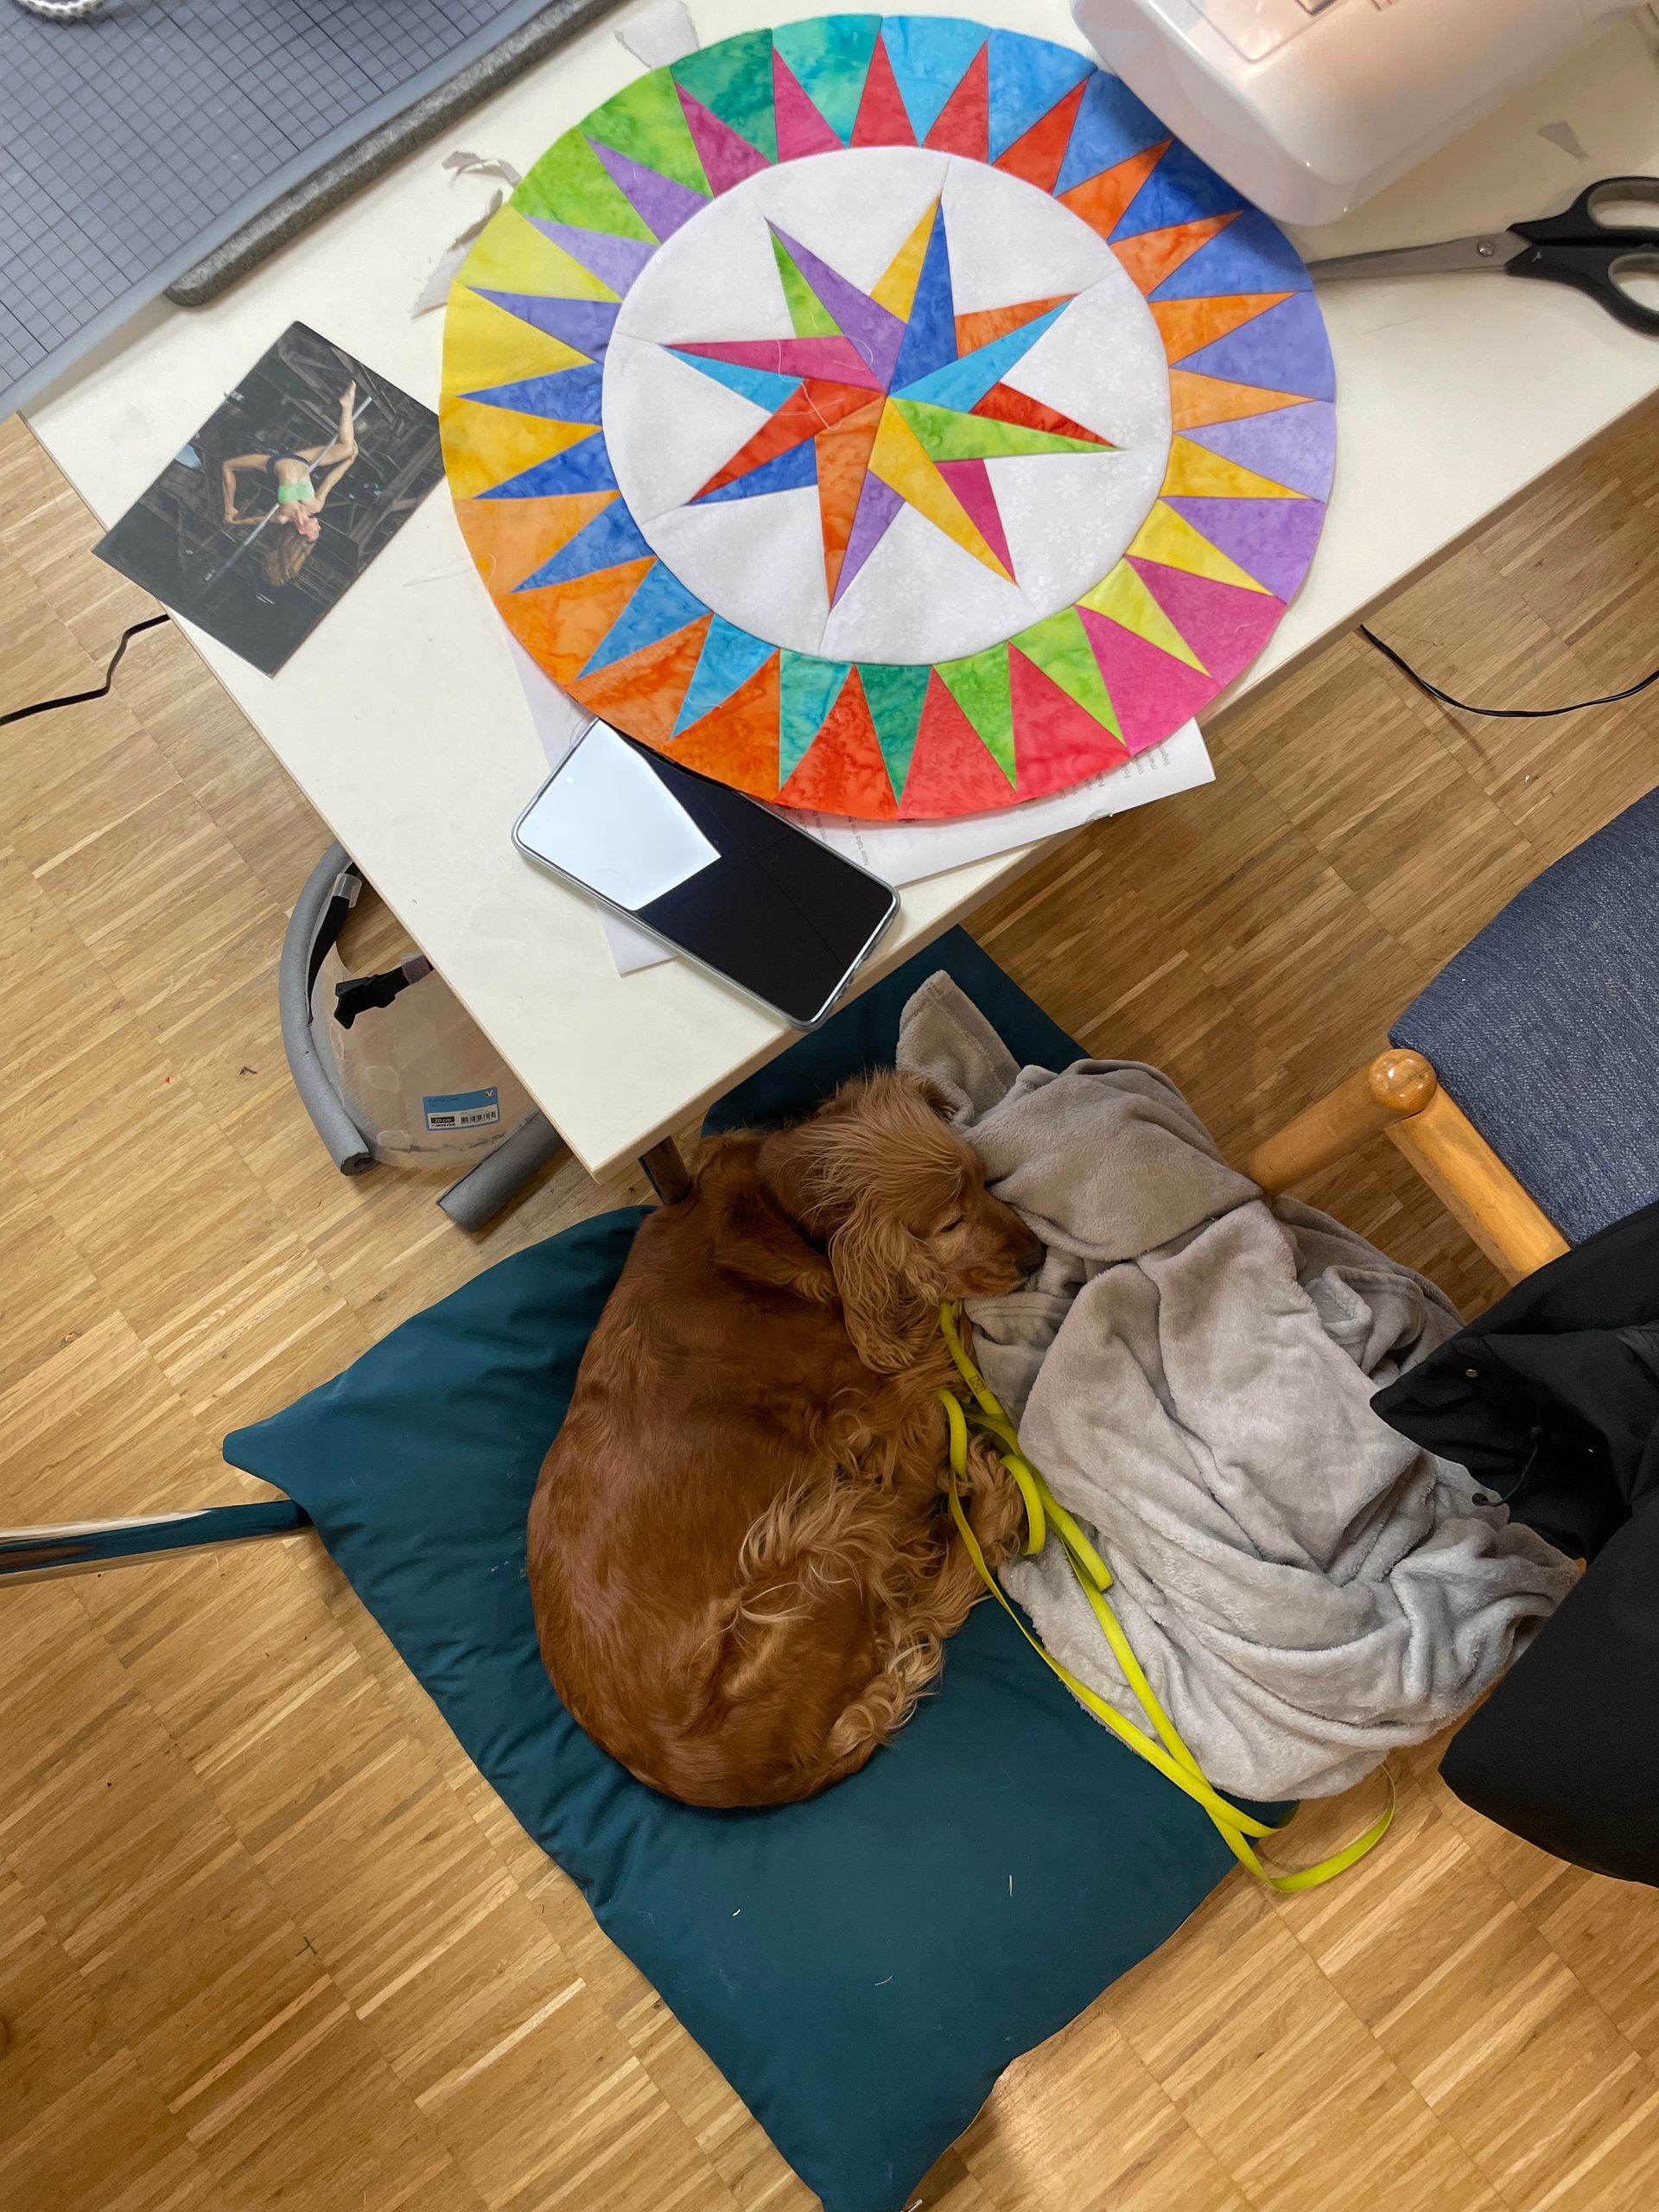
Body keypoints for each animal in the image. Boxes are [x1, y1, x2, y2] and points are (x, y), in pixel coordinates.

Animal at [526, 1072, 1044, 1808]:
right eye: (949, 1224)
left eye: (980, 1178)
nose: (1037, 1255)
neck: (782, 1208)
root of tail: (766, 1775)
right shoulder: (876, 1401)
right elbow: (934, 1366)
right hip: (821, 1540)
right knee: (912, 1595)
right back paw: (988, 1497)